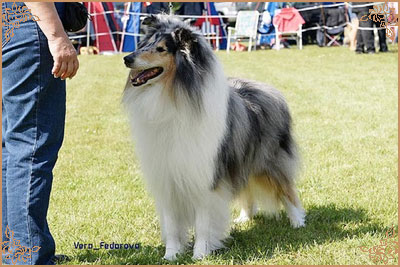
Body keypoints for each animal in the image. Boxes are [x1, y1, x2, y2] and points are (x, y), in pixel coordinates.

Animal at [123, 15, 304, 262]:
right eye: (143, 44)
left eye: (160, 49)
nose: (126, 58)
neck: (172, 97)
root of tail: (267, 88)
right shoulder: (166, 176)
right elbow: (171, 223)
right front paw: (171, 255)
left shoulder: (206, 176)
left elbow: (203, 221)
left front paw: (200, 253)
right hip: (240, 161)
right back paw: (244, 218)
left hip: (270, 162)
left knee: (287, 190)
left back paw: (298, 222)